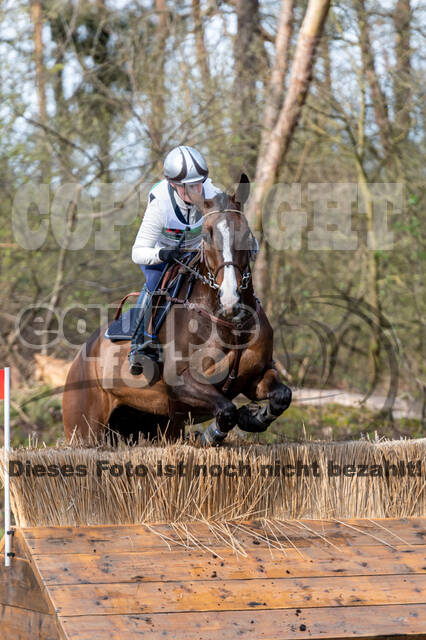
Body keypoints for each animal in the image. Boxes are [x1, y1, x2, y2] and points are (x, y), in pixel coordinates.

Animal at [61, 175, 292, 444]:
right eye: (207, 235)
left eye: (246, 233)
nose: (230, 299)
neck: (230, 325)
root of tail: (80, 356)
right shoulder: (181, 382)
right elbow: (226, 411)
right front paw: (211, 435)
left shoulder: (256, 375)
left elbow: (282, 396)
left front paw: (252, 417)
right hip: (84, 428)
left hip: (151, 424)